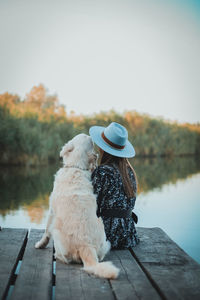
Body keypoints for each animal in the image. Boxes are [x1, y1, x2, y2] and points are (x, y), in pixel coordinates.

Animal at [34, 134, 119, 278]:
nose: (90, 134)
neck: (76, 167)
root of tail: (86, 246)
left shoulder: (52, 211)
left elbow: (46, 231)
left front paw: (40, 244)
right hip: (105, 242)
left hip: (57, 233)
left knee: (64, 257)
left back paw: (57, 256)